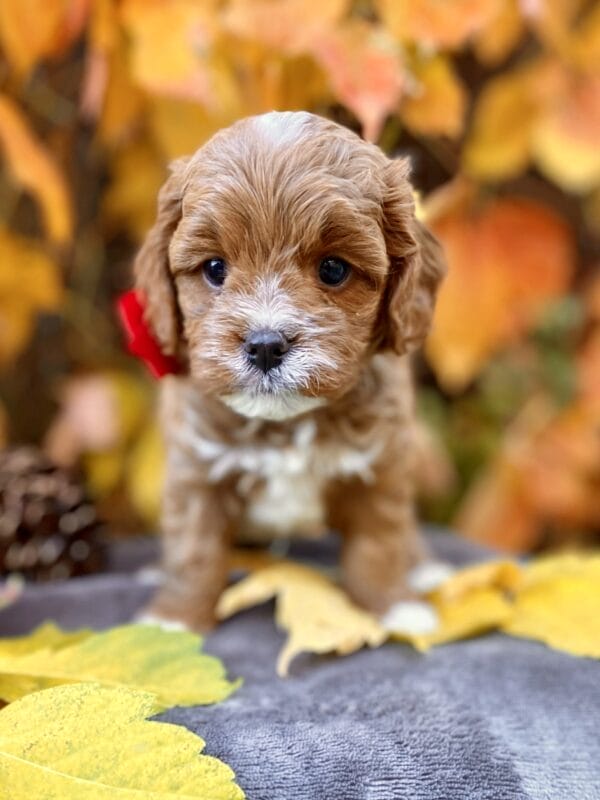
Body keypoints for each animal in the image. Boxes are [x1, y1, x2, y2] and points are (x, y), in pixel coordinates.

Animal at [135, 109, 446, 632]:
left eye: (334, 269)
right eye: (215, 268)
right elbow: (194, 547)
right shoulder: (196, 466)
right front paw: (174, 620)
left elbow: (380, 539)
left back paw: (422, 567)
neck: (285, 425)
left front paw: (394, 606)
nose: (264, 346)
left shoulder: (381, 461)